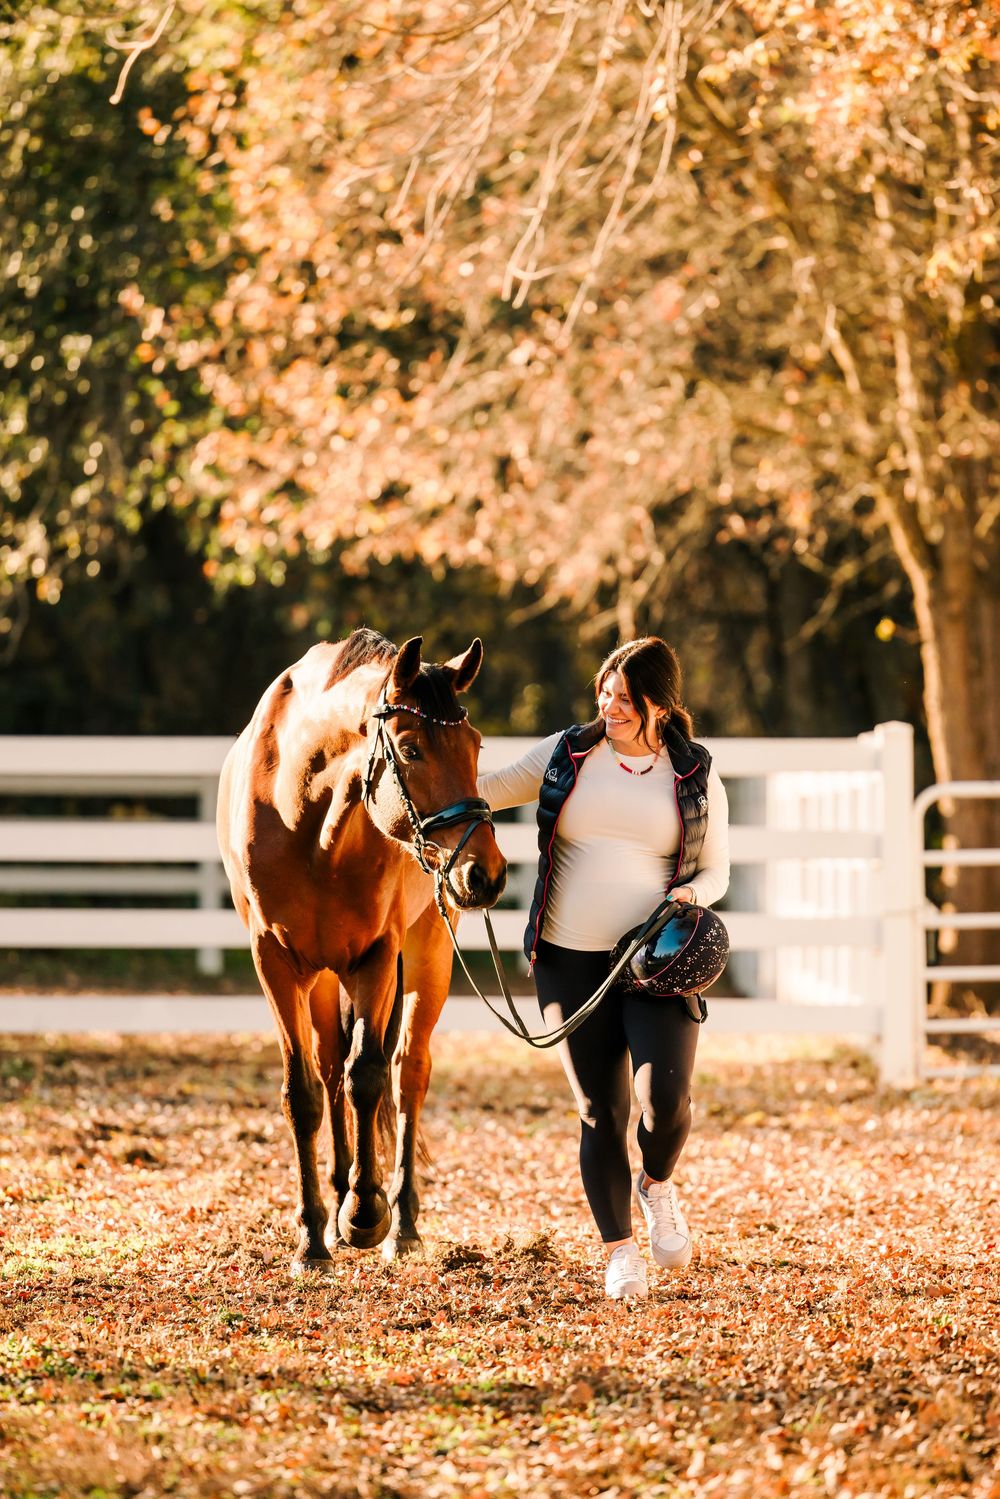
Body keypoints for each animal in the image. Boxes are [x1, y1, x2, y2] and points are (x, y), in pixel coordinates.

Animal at [216, 628, 507, 1272]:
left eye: (475, 745)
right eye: (412, 749)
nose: (486, 874)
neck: (305, 813)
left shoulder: (376, 956)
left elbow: (369, 1076)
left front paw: (367, 1214)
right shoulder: (274, 962)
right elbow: (304, 1091)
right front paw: (312, 1236)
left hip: (427, 953)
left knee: (406, 1071)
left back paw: (401, 1223)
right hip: (324, 977)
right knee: (329, 1066)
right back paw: (337, 1194)